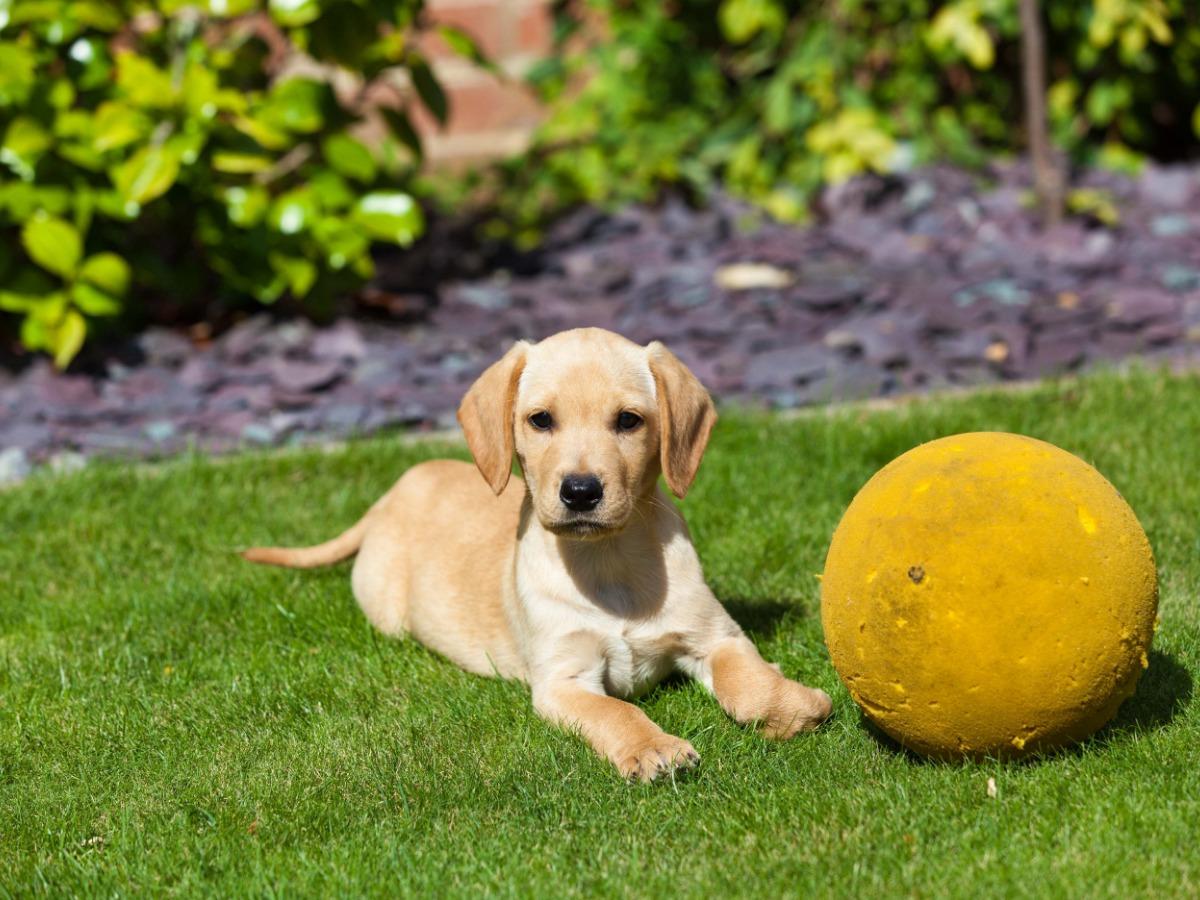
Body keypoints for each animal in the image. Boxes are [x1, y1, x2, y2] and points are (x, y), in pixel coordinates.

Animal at [240, 328, 830, 777]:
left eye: (629, 420)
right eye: (541, 420)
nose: (581, 492)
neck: (607, 562)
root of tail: (388, 498)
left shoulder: (715, 635)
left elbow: (746, 681)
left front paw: (794, 707)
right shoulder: (563, 681)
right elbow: (616, 713)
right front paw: (652, 748)